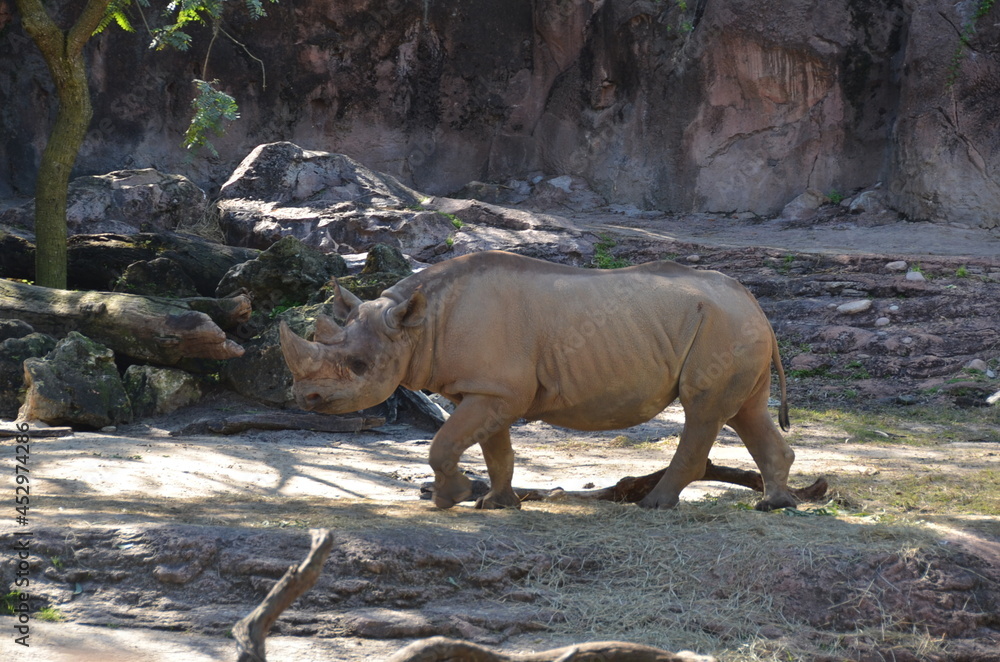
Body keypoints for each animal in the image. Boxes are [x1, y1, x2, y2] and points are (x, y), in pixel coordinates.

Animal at [280, 250, 797, 512]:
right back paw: (774, 505)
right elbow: (496, 449)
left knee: (703, 411)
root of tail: (754, 304)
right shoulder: (488, 389)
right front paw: (498, 503)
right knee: (746, 412)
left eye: (359, 365)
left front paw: (450, 499)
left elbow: (444, 444)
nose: (306, 397)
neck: (417, 325)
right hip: (733, 327)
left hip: (722, 327)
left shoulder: (496, 389)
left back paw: (654, 505)